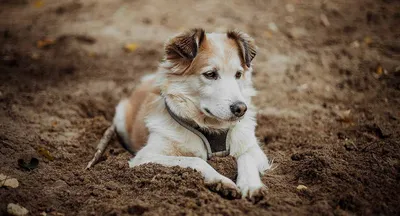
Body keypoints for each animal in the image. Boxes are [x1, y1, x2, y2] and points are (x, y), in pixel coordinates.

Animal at [113, 28, 272, 201]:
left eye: (238, 74)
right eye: (210, 74)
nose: (241, 108)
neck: (212, 127)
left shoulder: (254, 149)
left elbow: (246, 157)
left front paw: (251, 185)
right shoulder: (146, 156)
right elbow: (196, 160)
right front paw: (220, 180)